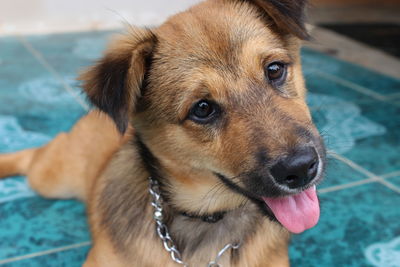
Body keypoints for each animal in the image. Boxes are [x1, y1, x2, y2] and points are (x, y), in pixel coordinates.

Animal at [0, 0, 324, 266]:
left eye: (275, 70)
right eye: (202, 109)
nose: (300, 169)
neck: (206, 222)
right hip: (54, 178)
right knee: (39, 153)